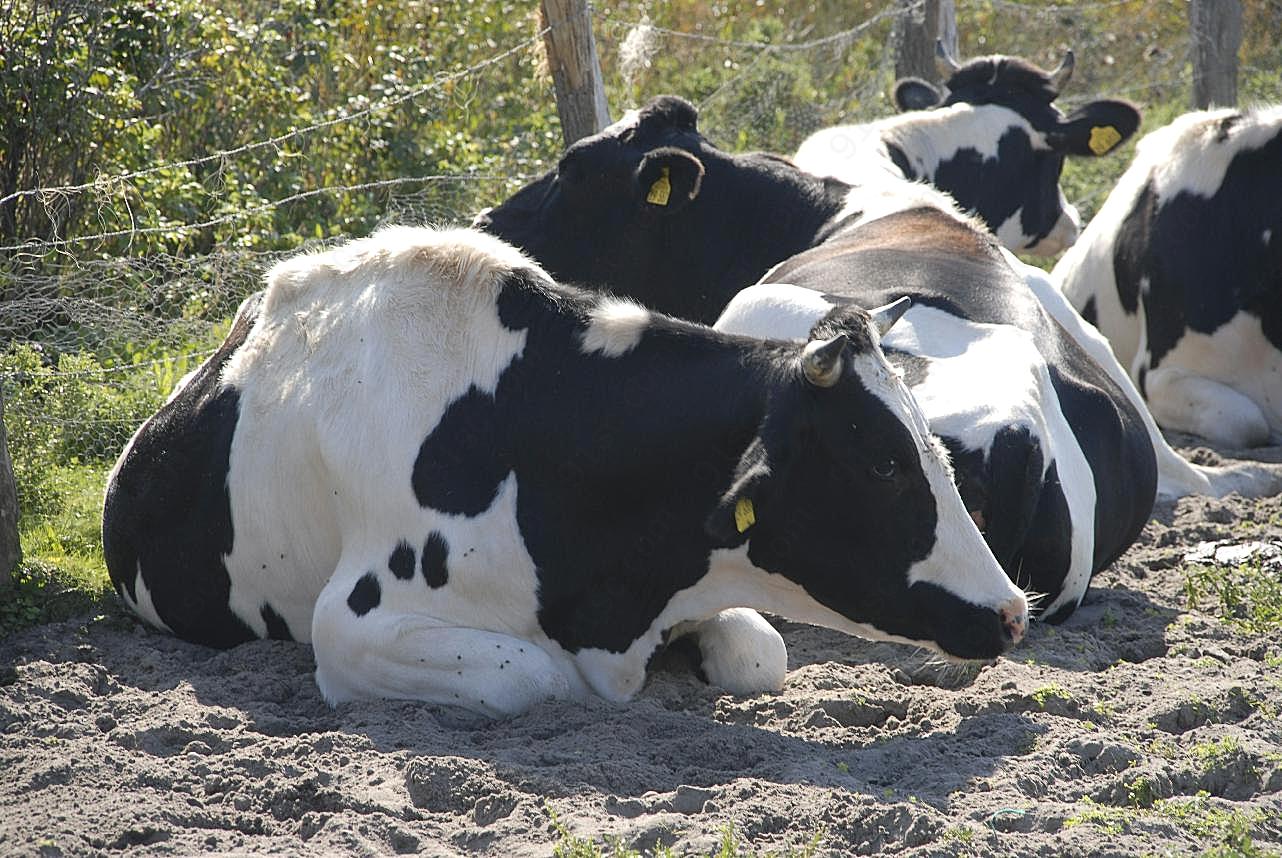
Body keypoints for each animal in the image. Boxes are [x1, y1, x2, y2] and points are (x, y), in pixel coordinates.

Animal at [97, 224, 1030, 713]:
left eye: (933, 450)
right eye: (883, 465)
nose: (1013, 610)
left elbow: (761, 653)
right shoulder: (352, 623)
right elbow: (535, 675)